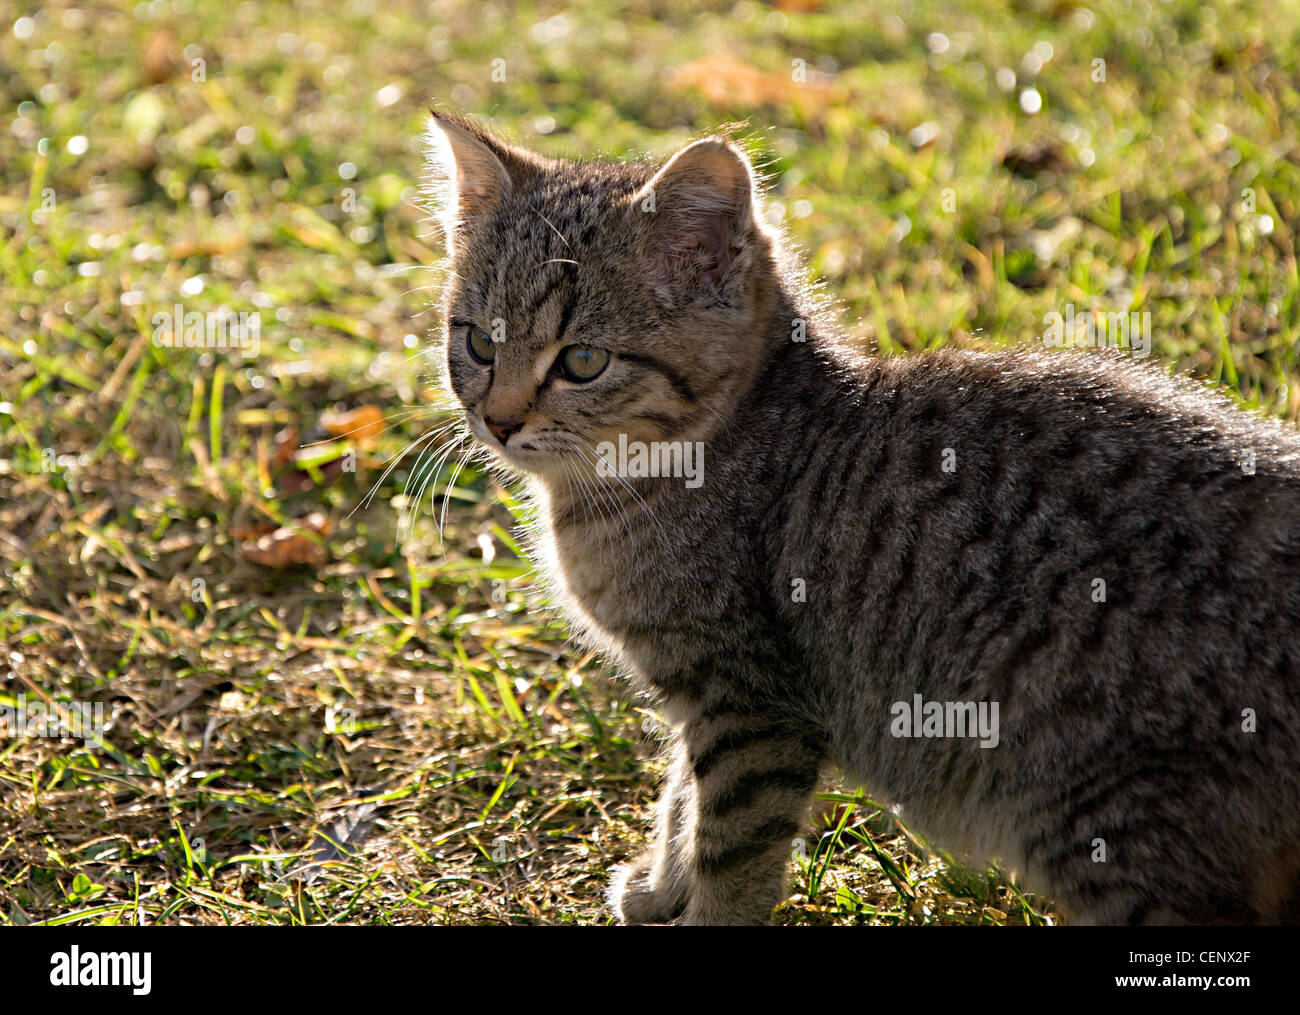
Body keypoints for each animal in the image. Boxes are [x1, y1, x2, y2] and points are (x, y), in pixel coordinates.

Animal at [421, 113, 1300, 925]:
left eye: (582, 361)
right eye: (478, 343)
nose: (497, 420)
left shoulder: (752, 702)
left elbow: (731, 840)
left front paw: (703, 909)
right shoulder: (707, 693)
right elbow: (682, 795)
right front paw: (662, 883)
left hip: (1108, 820)